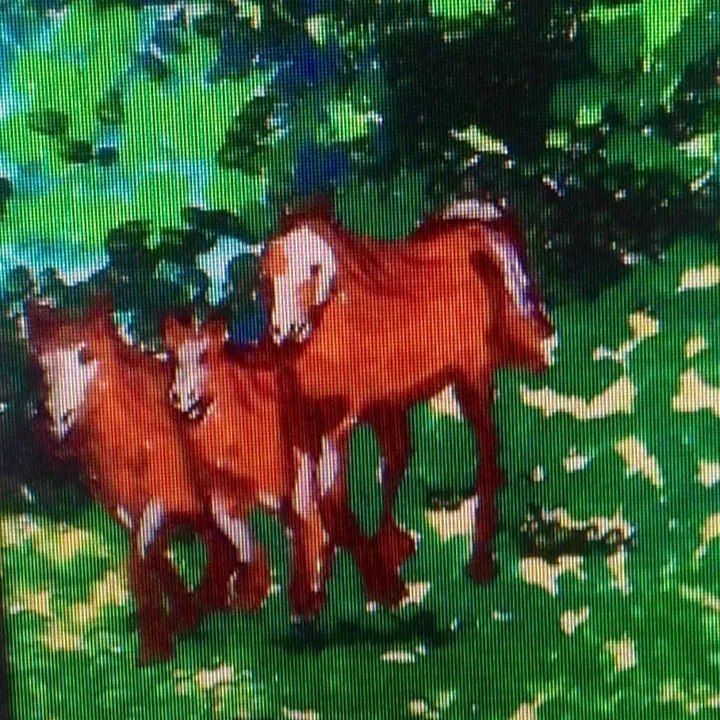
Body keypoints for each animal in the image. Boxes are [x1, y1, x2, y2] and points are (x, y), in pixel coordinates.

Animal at [24, 299, 260, 666]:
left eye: (86, 354)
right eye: (43, 364)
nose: (55, 420)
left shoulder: (168, 498)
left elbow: (144, 553)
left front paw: (158, 644)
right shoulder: (122, 505)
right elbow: (149, 556)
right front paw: (173, 626)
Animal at [258, 196, 556, 597]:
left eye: (315, 268)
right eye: (268, 271)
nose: (285, 332)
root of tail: (476, 229)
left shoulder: (338, 426)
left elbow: (331, 504)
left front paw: (382, 586)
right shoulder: (302, 426)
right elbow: (305, 504)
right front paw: (310, 593)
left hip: (471, 381)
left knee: (486, 457)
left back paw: (478, 562)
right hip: (392, 409)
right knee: (397, 462)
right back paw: (396, 548)